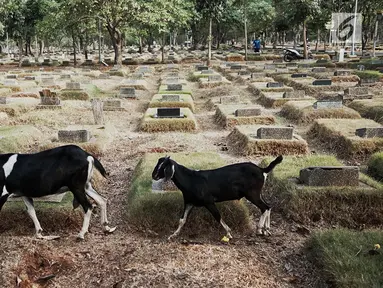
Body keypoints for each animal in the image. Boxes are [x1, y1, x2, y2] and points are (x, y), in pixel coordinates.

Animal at [152, 156, 284, 240]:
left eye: (162, 166)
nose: (153, 175)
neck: (191, 179)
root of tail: (262, 170)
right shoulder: (189, 202)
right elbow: (182, 220)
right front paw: (173, 235)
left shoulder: (209, 202)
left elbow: (217, 216)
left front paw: (229, 233)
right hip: (257, 193)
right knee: (268, 206)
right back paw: (266, 229)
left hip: (252, 193)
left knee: (264, 207)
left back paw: (259, 229)